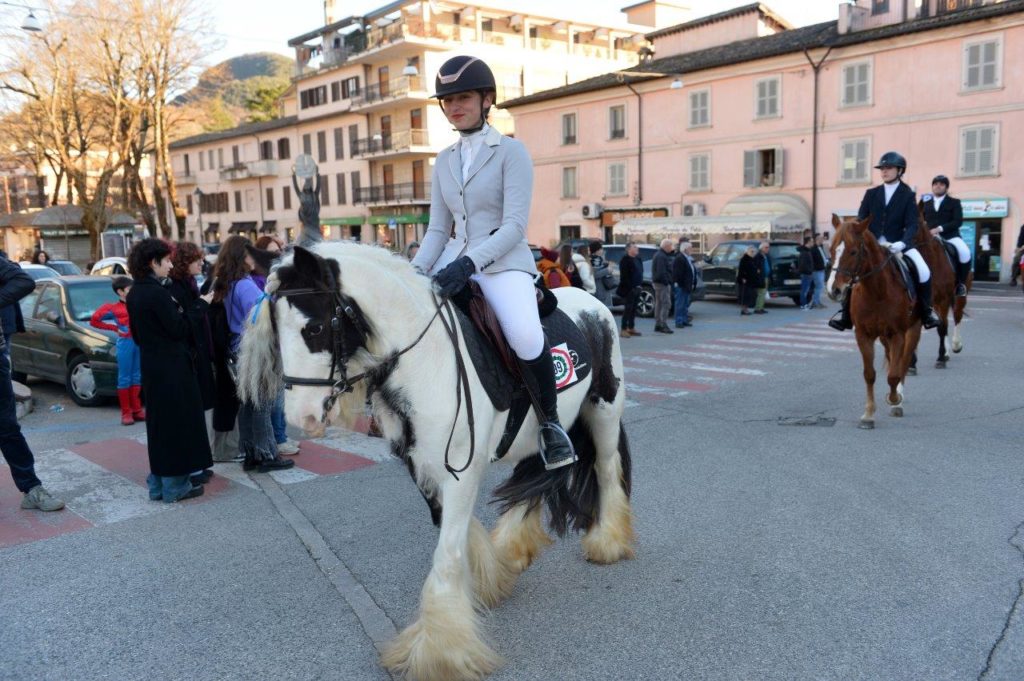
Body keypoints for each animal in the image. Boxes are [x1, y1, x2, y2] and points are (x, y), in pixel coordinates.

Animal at [236, 241, 635, 681]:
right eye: (276, 333)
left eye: (315, 329)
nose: (301, 418)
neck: (424, 361)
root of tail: (592, 303)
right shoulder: (421, 465)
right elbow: (456, 532)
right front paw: (487, 582)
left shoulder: (461, 469)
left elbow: (447, 553)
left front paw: (444, 651)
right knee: (532, 481)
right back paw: (513, 549)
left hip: (603, 411)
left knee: (606, 470)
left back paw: (608, 542)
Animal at [827, 214, 923, 429]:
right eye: (831, 250)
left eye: (853, 252)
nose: (833, 290)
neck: (876, 292)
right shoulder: (863, 335)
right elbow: (869, 374)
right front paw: (868, 414)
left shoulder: (898, 334)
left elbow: (894, 374)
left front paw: (895, 400)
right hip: (884, 337)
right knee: (891, 358)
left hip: (912, 330)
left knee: (903, 363)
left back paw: (898, 400)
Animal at [907, 202, 970, 372]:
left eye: (916, 224)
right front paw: (911, 363)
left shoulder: (943, 299)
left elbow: (942, 327)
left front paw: (940, 358)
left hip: (959, 296)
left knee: (956, 317)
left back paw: (955, 346)